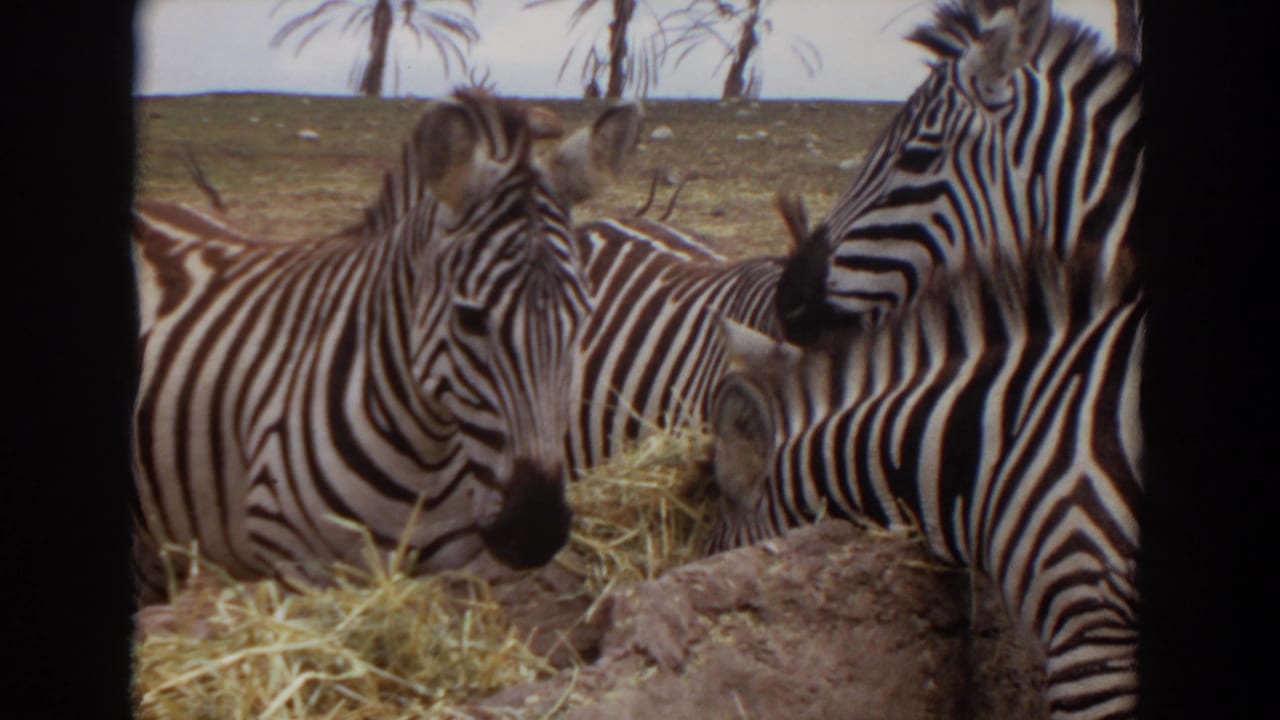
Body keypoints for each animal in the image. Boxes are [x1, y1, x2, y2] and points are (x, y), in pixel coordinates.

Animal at [130, 89, 641, 603]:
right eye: (469, 317)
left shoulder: (437, 571)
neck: (426, 455)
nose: (536, 532)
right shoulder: (301, 571)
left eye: (583, 314)